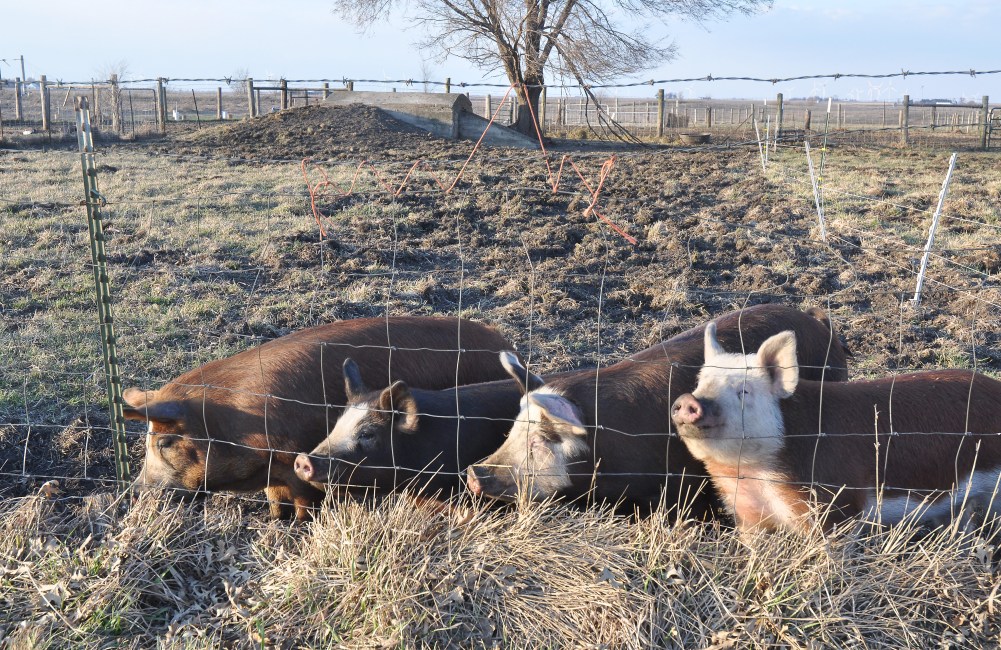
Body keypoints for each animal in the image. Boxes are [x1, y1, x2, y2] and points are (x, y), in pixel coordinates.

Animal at [121, 316, 514, 520]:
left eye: (165, 441)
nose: (135, 492)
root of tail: (503, 342)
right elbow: (275, 501)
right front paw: (274, 523)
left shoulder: (293, 465)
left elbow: (303, 503)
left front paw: (296, 526)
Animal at [671, 323, 1001, 533]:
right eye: (700, 382)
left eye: (744, 391)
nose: (688, 400)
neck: (754, 473)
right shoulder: (749, 514)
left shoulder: (837, 507)